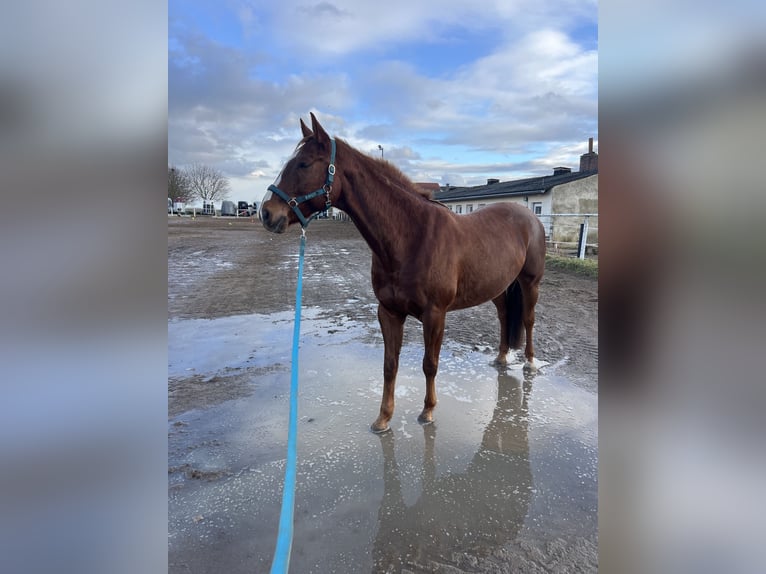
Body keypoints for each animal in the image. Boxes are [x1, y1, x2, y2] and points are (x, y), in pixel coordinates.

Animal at [260, 113, 546, 433]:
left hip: (530, 283)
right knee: (504, 316)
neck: (411, 237)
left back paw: (530, 363)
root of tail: (530, 216)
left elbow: (429, 364)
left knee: (528, 320)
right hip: (498, 286)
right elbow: (389, 365)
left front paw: (428, 411)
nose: (267, 213)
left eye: (304, 164)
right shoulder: (389, 312)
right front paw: (383, 418)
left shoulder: (435, 315)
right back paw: (501, 357)